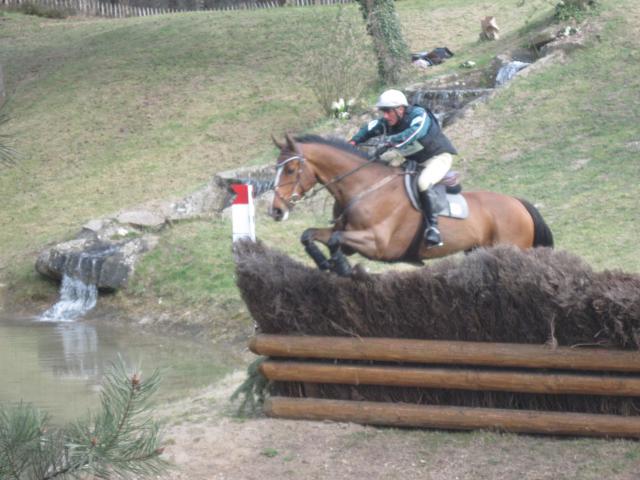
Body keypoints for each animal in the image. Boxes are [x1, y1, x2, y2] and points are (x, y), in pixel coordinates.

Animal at [268, 133, 552, 276]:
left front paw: (342, 267)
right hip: (478, 250)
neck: (364, 188)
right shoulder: (346, 234)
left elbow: (337, 240)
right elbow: (310, 235)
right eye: (275, 168)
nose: (276, 211)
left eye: (291, 169)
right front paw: (325, 263)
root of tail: (517, 203)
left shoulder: (377, 244)